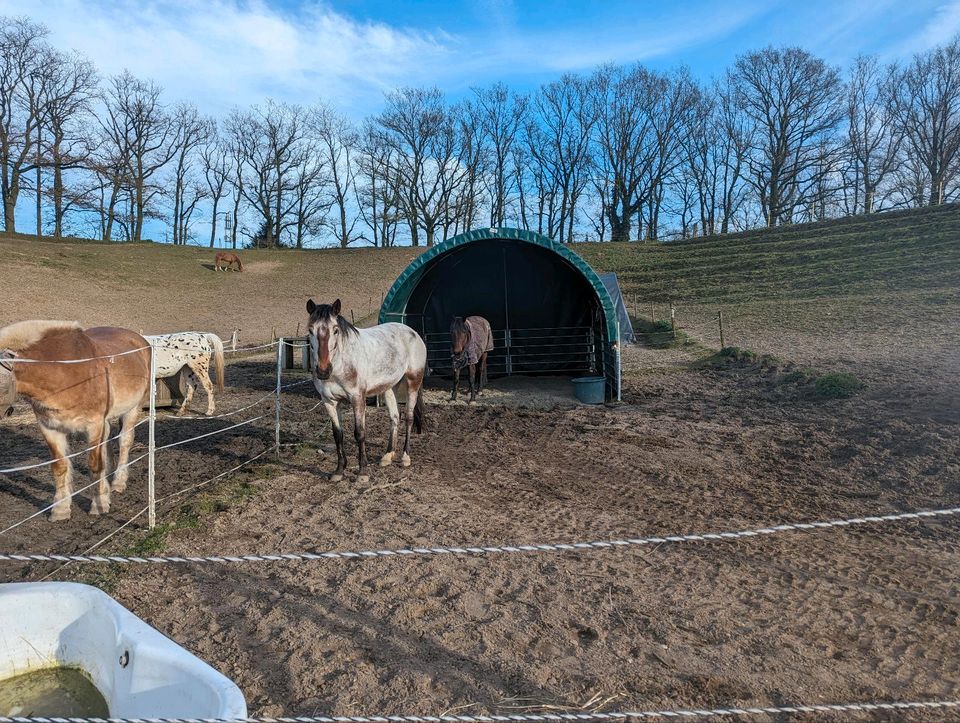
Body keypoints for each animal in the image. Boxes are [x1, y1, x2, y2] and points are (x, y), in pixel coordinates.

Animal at [0, 320, 151, 520]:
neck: (64, 373)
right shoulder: (50, 428)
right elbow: (60, 466)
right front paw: (60, 509)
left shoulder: (94, 425)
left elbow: (94, 465)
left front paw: (99, 505)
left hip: (132, 410)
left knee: (125, 441)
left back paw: (118, 482)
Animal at [308, 296, 428, 484]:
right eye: (310, 330)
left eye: (335, 330)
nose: (323, 370)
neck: (341, 364)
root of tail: (412, 333)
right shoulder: (329, 401)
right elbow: (338, 434)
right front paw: (339, 471)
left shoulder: (357, 398)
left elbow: (360, 433)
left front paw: (362, 472)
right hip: (389, 387)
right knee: (395, 417)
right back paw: (387, 456)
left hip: (413, 381)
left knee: (408, 417)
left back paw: (405, 458)